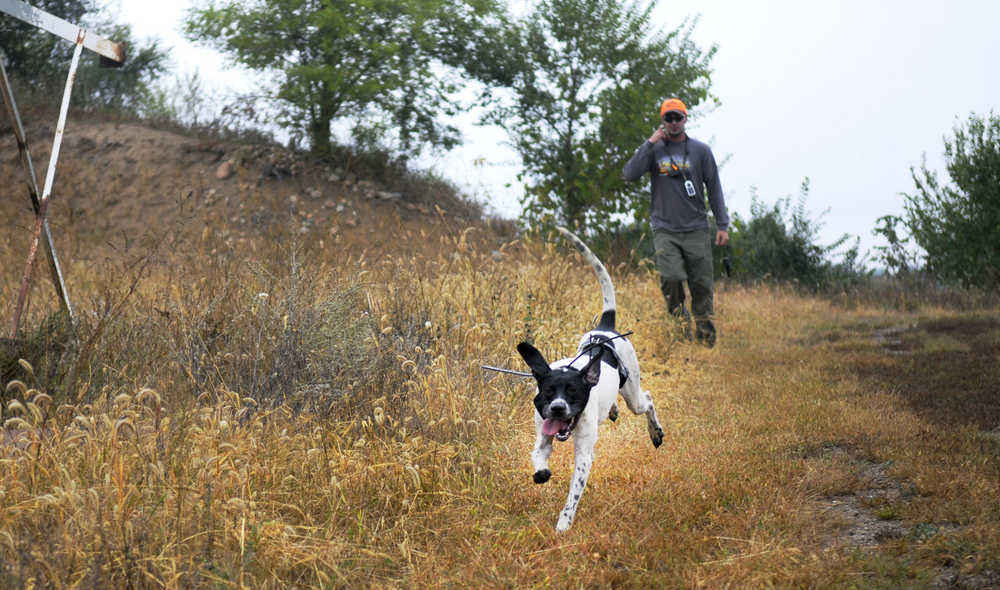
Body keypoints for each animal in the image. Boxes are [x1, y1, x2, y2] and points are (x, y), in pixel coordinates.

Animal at [516, 225, 664, 532]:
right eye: (548, 392)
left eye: (573, 392)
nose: (557, 408)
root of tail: (604, 328)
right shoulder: (542, 435)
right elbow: (538, 456)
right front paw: (541, 472)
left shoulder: (584, 454)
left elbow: (573, 495)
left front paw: (563, 525)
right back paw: (613, 410)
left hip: (633, 394)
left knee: (646, 399)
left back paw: (655, 432)